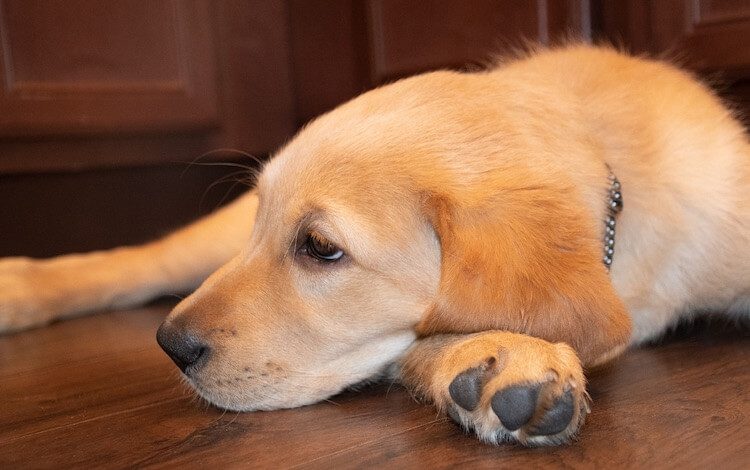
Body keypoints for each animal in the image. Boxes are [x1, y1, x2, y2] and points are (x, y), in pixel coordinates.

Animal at [1, 46, 750, 446]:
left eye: (319, 247)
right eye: (284, 233)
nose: (171, 346)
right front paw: (496, 357)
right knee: (141, 262)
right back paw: (20, 287)